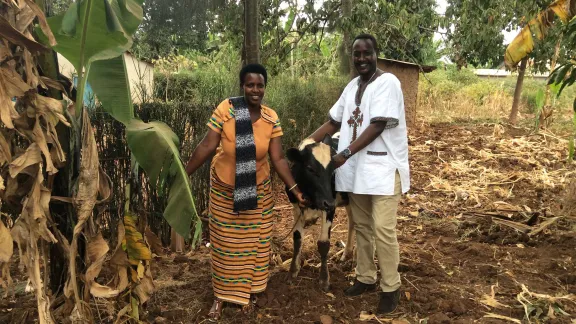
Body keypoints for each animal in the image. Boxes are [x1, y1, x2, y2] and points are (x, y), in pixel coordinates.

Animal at [284, 132, 354, 292]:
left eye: (333, 169)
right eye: (310, 168)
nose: (328, 201)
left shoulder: (329, 208)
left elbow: (323, 243)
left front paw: (324, 279)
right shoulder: (296, 206)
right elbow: (297, 238)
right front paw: (293, 270)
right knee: (353, 223)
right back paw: (346, 254)